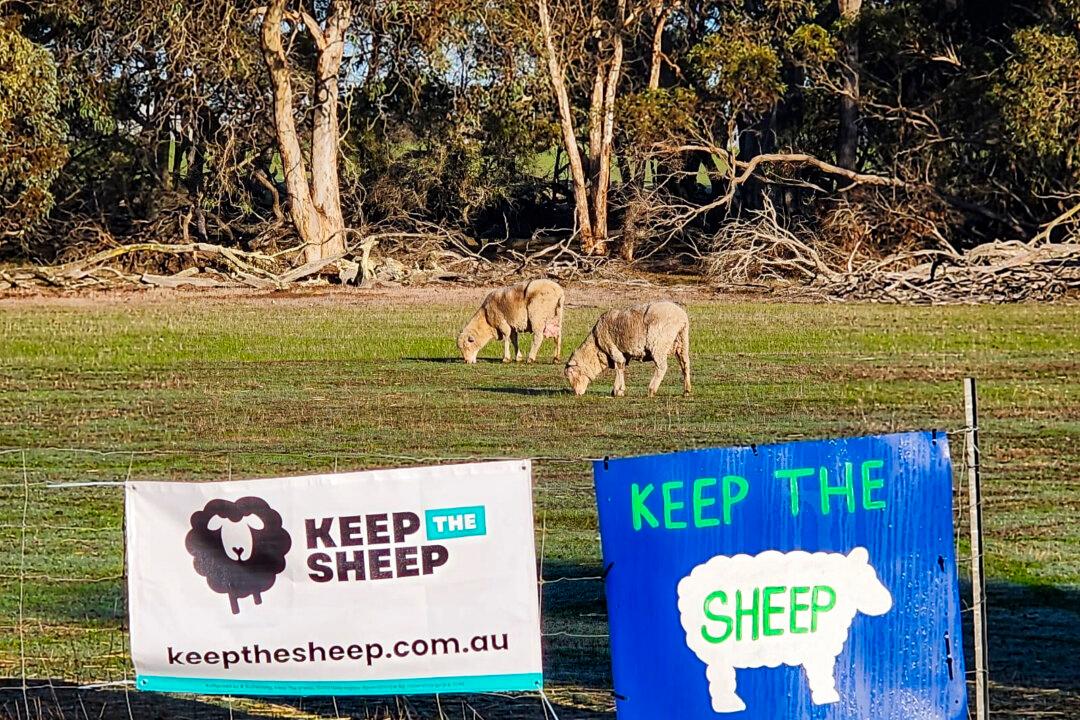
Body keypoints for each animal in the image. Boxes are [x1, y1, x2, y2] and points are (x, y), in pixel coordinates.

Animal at [676, 547, 893, 712]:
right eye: (867, 578)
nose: (888, 602)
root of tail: (687, 584)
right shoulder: (818, 649)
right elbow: (822, 674)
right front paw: (827, 696)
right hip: (718, 652)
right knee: (720, 677)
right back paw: (730, 706)